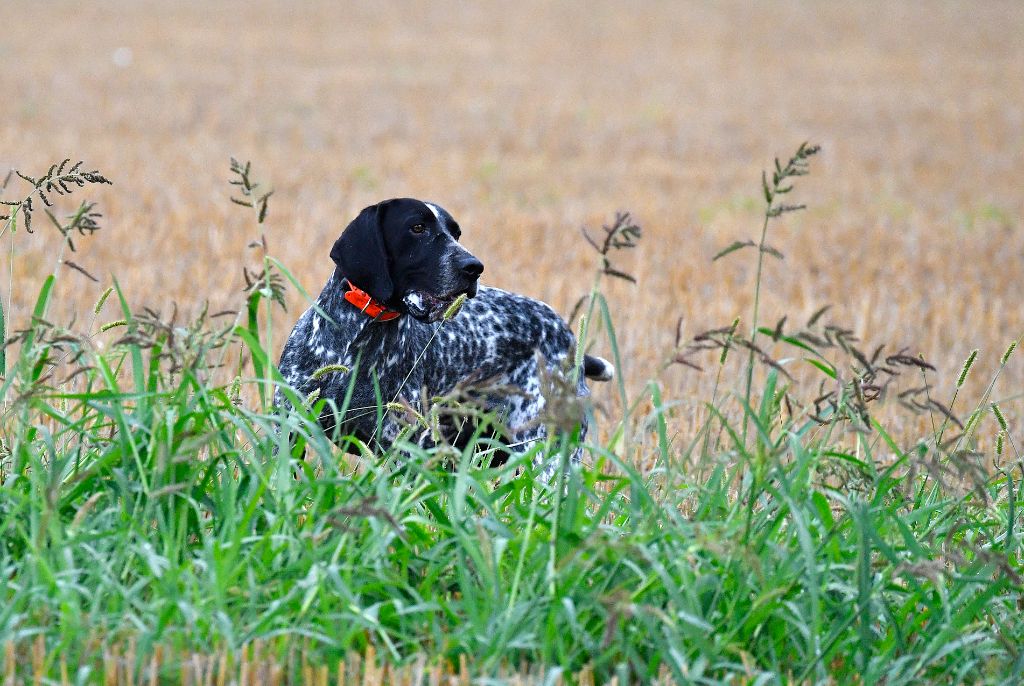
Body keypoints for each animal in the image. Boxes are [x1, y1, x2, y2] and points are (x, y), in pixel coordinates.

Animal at [274, 196, 614, 475]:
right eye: (417, 228)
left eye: (456, 234)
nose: (474, 267)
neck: (358, 340)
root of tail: (569, 339)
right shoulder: (288, 431)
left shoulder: (403, 447)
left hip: (546, 456)